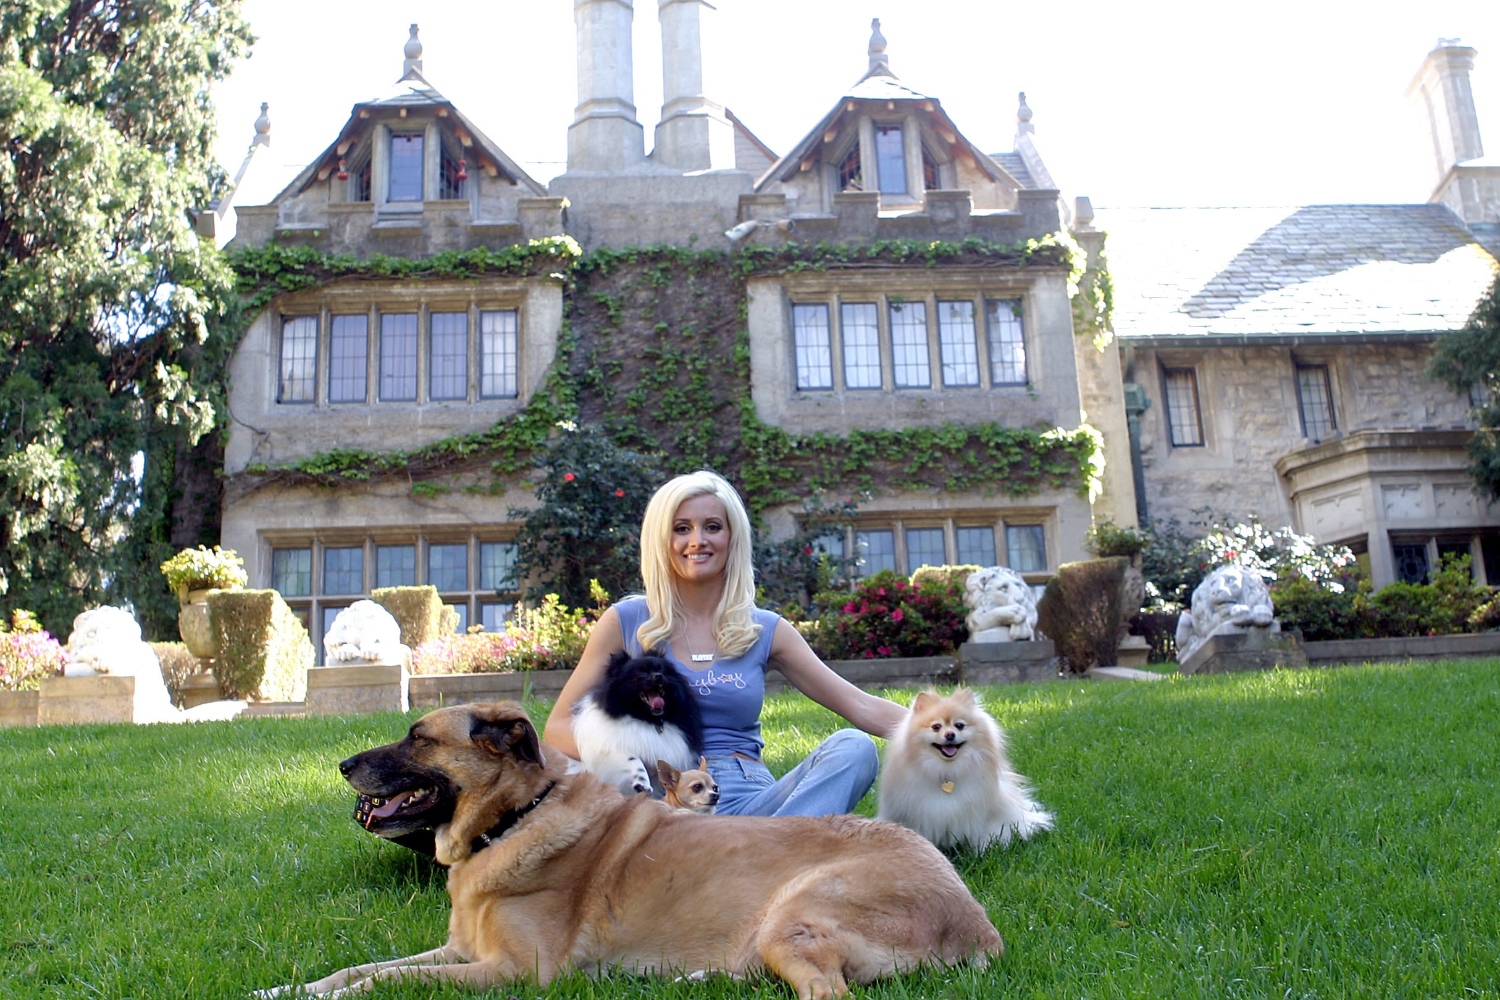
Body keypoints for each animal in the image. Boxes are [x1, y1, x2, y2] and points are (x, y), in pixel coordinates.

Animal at [265, 701, 1002, 995]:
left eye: (419, 738)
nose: (342, 767)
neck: (514, 820)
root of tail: (978, 924)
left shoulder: (511, 972)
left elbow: (385, 981)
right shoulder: (457, 953)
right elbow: (358, 969)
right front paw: (287, 988)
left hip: (792, 917)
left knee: (826, 992)